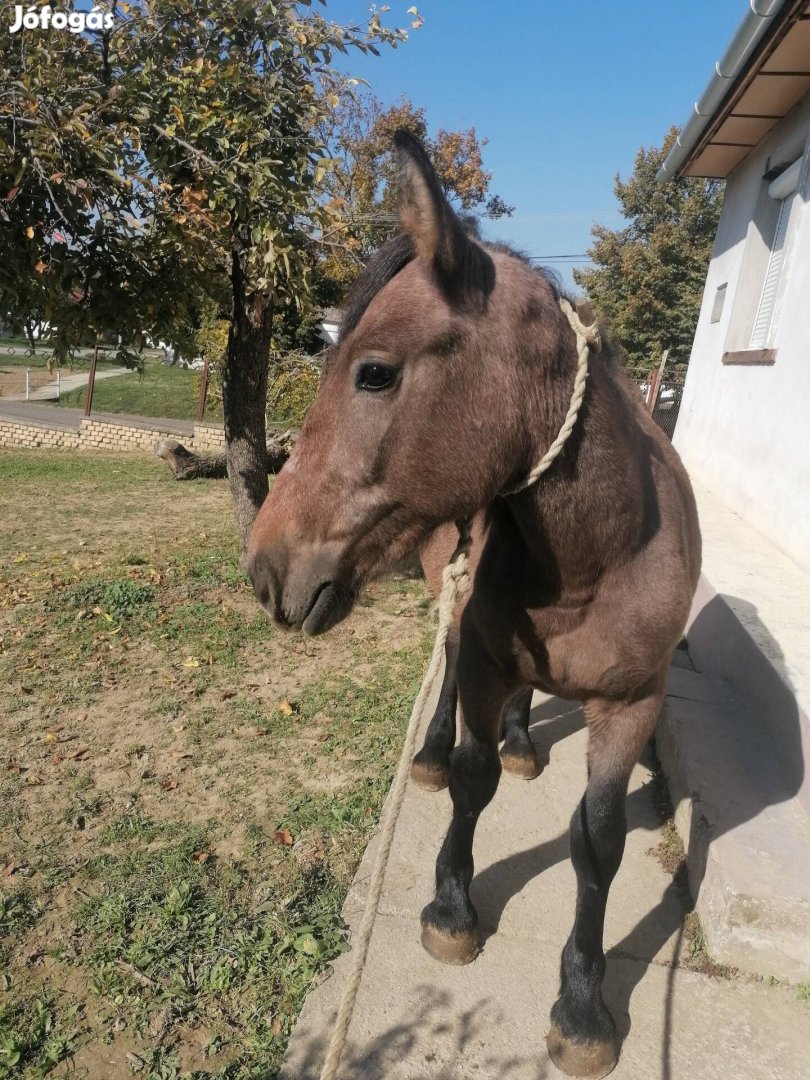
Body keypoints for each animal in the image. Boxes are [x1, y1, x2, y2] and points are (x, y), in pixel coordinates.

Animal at [247, 130, 704, 1075]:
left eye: (374, 373)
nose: (266, 569)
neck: (603, 553)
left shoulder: (631, 706)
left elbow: (598, 842)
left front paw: (584, 1003)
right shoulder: (491, 662)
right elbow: (471, 775)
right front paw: (453, 908)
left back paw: (528, 739)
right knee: (451, 670)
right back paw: (431, 747)